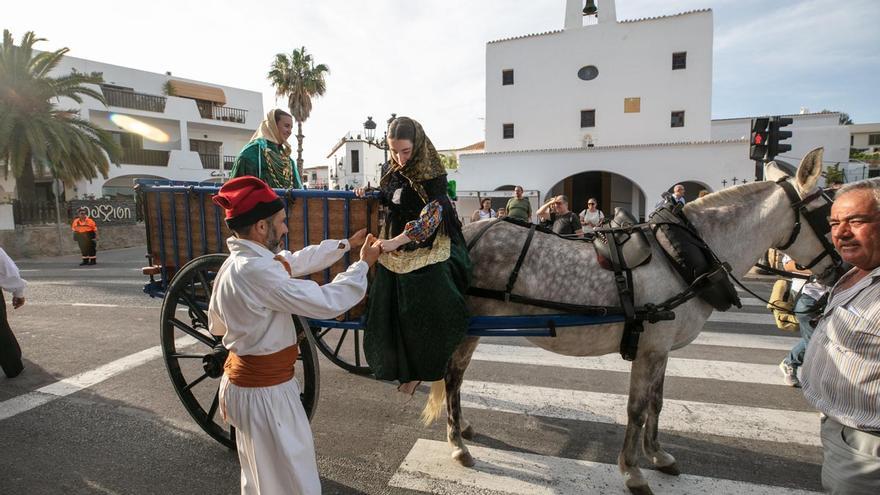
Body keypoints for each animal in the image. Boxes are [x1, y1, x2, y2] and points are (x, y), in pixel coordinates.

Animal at [420, 150, 840, 495]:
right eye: (826, 215)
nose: (840, 269)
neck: (681, 257)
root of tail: (468, 233)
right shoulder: (650, 346)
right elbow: (636, 408)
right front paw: (632, 471)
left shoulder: (661, 348)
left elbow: (656, 401)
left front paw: (658, 455)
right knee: (453, 376)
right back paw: (458, 444)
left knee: (457, 376)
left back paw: (463, 428)